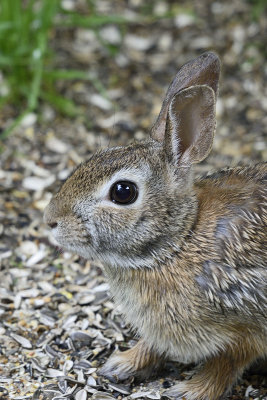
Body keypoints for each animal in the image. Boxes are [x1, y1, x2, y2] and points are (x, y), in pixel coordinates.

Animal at [45, 54, 266, 400]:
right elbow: (153, 345)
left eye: (123, 192)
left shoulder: (247, 326)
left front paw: (190, 391)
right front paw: (121, 365)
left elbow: (226, 364)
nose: (50, 219)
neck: (177, 243)